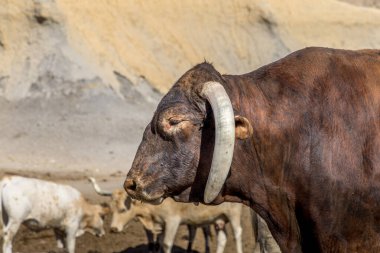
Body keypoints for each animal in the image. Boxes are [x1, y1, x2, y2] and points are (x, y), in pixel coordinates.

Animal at [89, 178, 243, 253]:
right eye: (111, 209)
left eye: (123, 209)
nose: (113, 229)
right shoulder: (160, 224)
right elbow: (158, 244)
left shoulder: (172, 221)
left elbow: (167, 244)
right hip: (219, 219)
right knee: (222, 239)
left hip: (234, 214)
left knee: (237, 234)